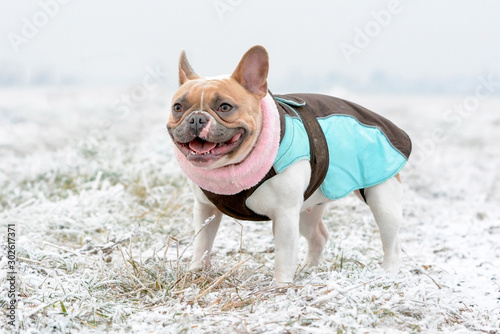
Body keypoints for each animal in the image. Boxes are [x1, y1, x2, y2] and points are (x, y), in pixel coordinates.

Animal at [166, 45, 412, 284]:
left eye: (225, 107)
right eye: (178, 107)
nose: (196, 118)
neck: (231, 169)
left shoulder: (284, 214)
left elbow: (283, 254)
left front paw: (280, 286)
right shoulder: (205, 208)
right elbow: (202, 243)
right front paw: (196, 272)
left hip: (383, 201)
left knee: (392, 243)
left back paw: (388, 275)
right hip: (307, 208)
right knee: (318, 236)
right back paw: (307, 269)